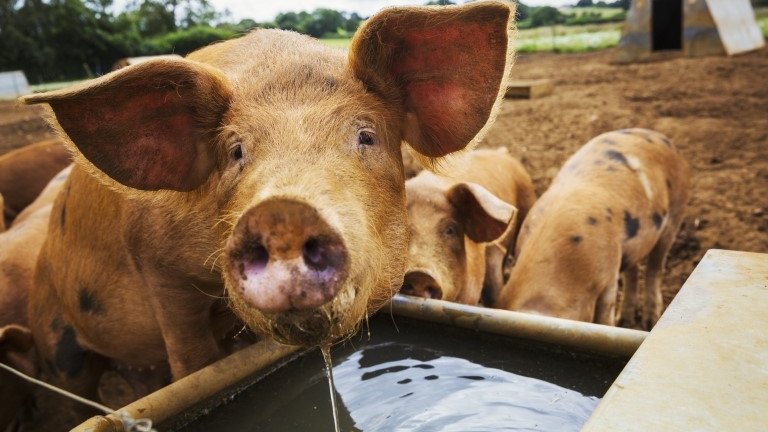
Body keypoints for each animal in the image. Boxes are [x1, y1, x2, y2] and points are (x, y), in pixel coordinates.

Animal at [19, 1, 516, 417]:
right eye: (235, 151)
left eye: (366, 136)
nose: (284, 213)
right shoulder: (156, 267)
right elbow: (193, 364)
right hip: (57, 337)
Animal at [494, 129, 690, 329]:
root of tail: (664, 139)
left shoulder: (610, 276)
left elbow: (604, 316)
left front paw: (610, 326)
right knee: (633, 270)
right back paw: (624, 321)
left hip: (676, 212)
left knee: (655, 267)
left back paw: (649, 322)